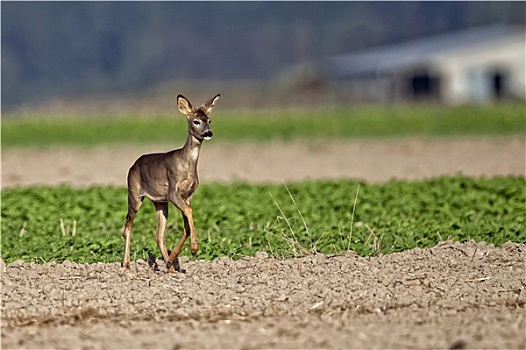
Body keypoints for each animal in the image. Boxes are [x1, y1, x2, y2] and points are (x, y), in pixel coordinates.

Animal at [124, 94, 221, 272]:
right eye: (196, 121)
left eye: (209, 120)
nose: (208, 133)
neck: (186, 165)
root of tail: (133, 165)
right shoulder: (173, 192)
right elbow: (189, 211)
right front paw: (194, 247)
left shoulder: (188, 195)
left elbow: (187, 226)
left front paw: (174, 258)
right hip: (134, 195)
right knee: (128, 226)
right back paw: (126, 264)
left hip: (160, 202)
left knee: (158, 235)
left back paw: (169, 267)